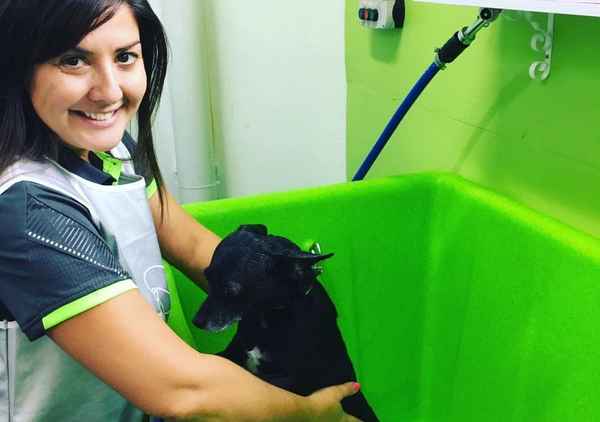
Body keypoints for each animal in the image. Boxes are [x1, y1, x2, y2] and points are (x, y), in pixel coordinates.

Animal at [195, 223, 378, 420]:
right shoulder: (234, 352)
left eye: (229, 291)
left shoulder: (285, 381)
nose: (196, 321)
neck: (266, 318)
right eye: (207, 276)